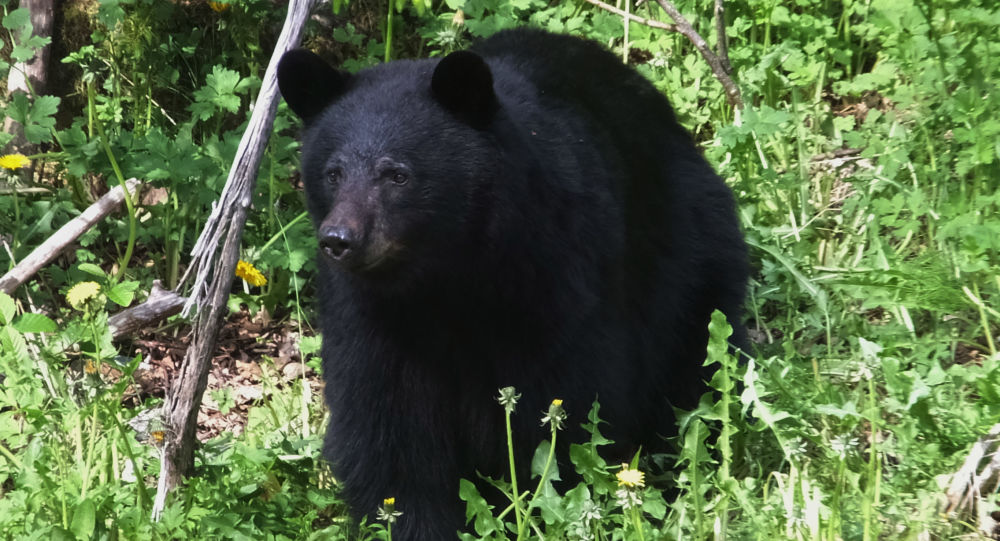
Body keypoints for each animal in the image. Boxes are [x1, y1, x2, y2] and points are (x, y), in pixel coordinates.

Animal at [278, 28, 748, 536]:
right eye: (333, 173)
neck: (446, 276)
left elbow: (561, 408)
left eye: (396, 174)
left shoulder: (553, 277)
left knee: (695, 361)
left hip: (690, 257)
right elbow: (387, 422)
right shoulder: (370, 313)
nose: (339, 239)